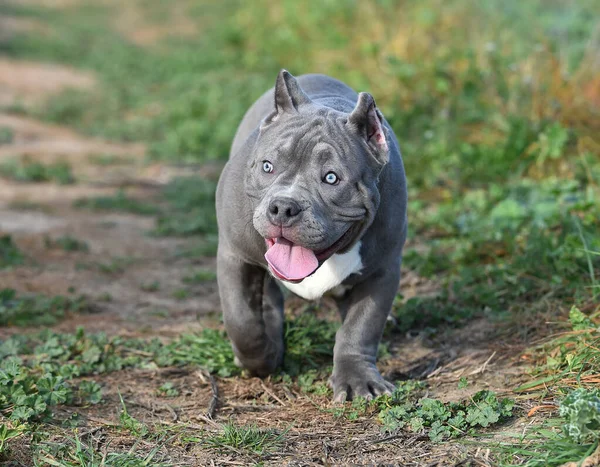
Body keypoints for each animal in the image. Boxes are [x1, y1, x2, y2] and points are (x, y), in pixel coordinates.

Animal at [216, 69, 408, 402]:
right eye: (267, 166)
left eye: (331, 178)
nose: (283, 206)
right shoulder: (234, 254)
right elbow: (242, 320)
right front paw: (261, 359)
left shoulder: (382, 271)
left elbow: (361, 326)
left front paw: (357, 380)